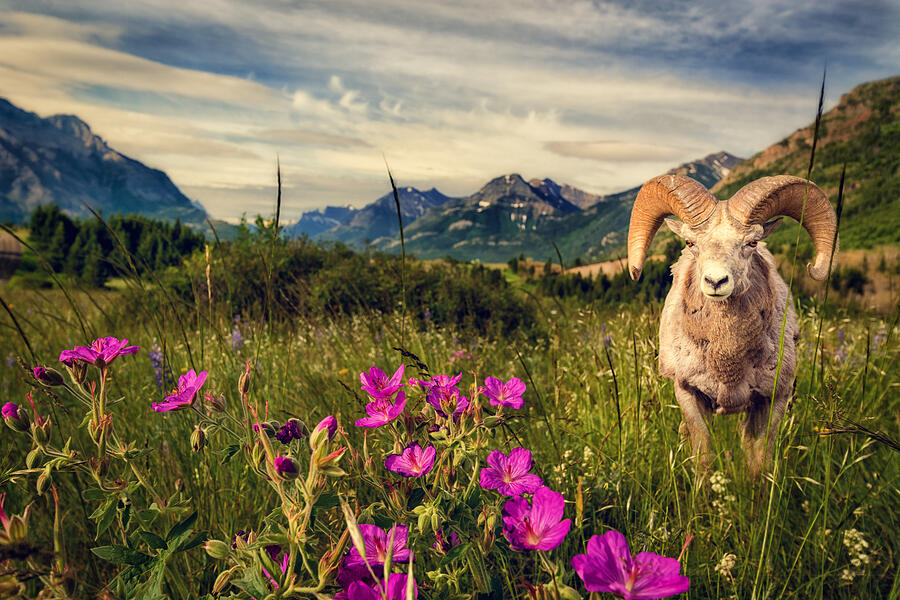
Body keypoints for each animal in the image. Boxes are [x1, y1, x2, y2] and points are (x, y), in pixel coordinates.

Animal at [628, 175, 840, 478]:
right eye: (690, 242)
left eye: (751, 243)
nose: (716, 281)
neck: (728, 360)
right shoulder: (688, 393)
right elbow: (703, 457)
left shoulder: (773, 399)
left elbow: (759, 461)